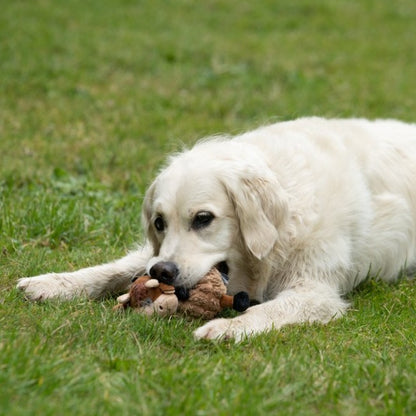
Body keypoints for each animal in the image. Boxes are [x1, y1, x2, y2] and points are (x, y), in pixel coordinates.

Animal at [16, 117, 416, 342]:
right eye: (159, 223)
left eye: (203, 218)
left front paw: (227, 329)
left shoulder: (314, 290)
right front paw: (53, 282)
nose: (163, 272)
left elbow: (266, 311)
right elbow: (113, 269)